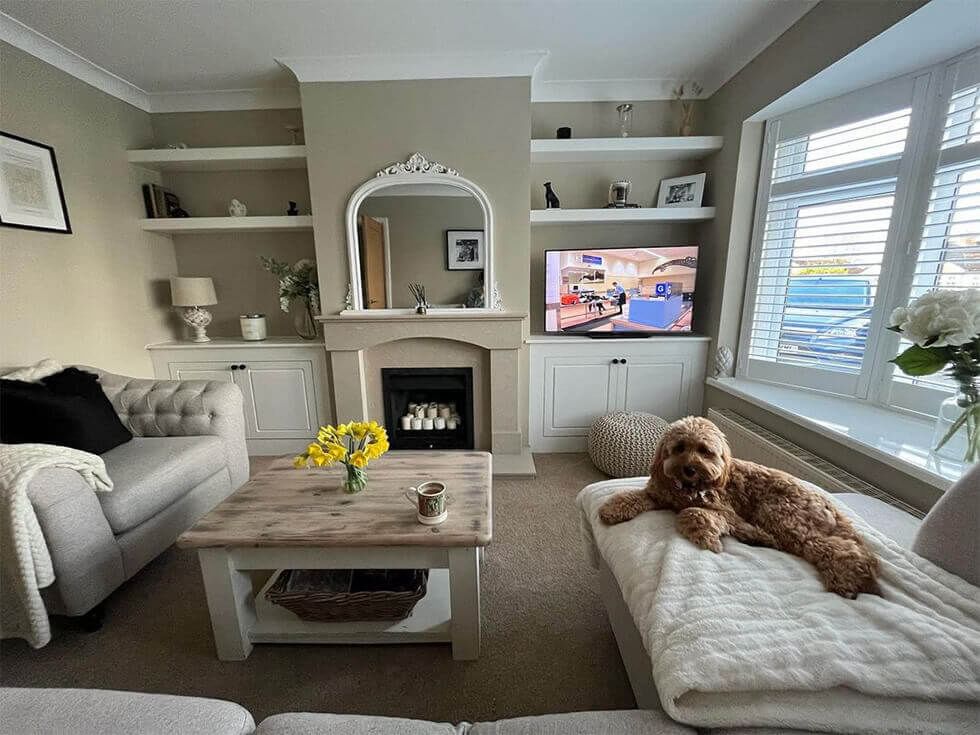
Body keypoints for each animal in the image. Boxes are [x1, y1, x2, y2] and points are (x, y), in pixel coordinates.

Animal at [596, 414, 880, 600]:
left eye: (705, 450)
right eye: (679, 447)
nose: (689, 468)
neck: (688, 489)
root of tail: (828, 504)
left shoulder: (724, 510)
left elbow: (692, 513)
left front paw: (706, 536)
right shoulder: (659, 494)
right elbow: (632, 496)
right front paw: (611, 508)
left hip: (780, 513)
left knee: (839, 548)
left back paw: (847, 580)